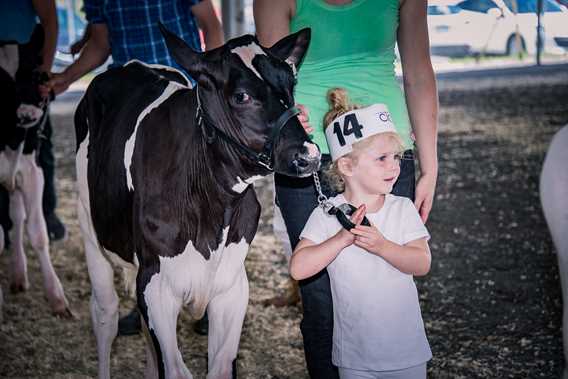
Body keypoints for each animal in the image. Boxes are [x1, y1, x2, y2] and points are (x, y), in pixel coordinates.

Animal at [73, 25, 318, 378]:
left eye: (291, 82)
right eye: (241, 96)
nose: (308, 156)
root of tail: (130, 65)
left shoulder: (231, 287)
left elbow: (218, 367)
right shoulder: (157, 287)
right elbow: (177, 370)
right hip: (90, 229)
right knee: (105, 315)